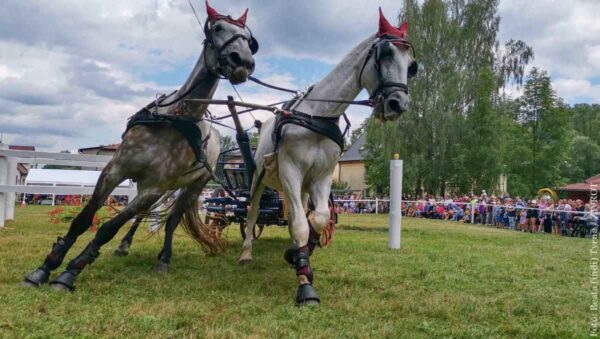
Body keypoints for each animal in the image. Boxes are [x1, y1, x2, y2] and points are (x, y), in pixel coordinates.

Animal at [239, 8, 418, 306]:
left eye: (412, 65)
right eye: (385, 54)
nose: (398, 104)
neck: (316, 116)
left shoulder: (321, 177)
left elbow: (318, 218)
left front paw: (299, 255)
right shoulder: (291, 171)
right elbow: (300, 225)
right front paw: (305, 285)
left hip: (299, 188)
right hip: (259, 180)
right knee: (252, 214)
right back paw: (245, 253)